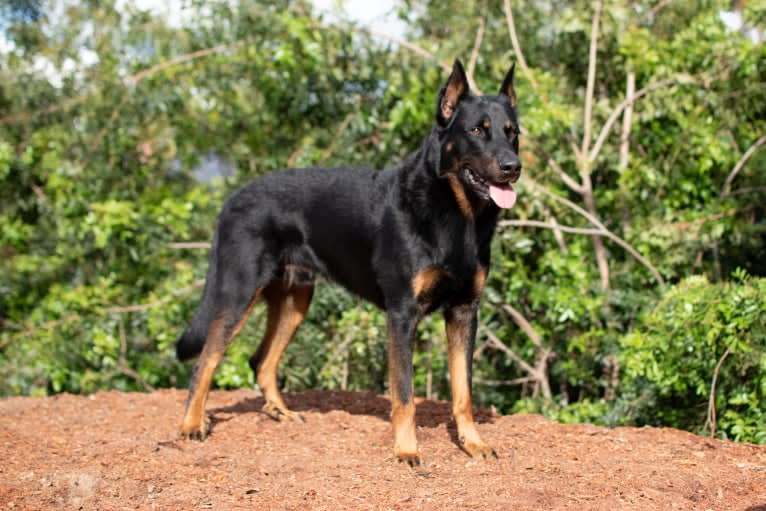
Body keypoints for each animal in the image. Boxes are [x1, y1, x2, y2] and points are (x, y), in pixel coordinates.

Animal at [176, 60, 520, 468]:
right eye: (476, 131)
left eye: (512, 133)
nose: (513, 167)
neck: (454, 211)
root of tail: (231, 198)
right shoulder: (402, 314)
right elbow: (404, 392)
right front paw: (407, 449)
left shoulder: (465, 311)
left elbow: (463, 391)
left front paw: (473, 443)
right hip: (238, 293)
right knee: (205, 360)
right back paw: (192, 425)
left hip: (294, 300)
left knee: (261, 361)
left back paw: (280, 412)